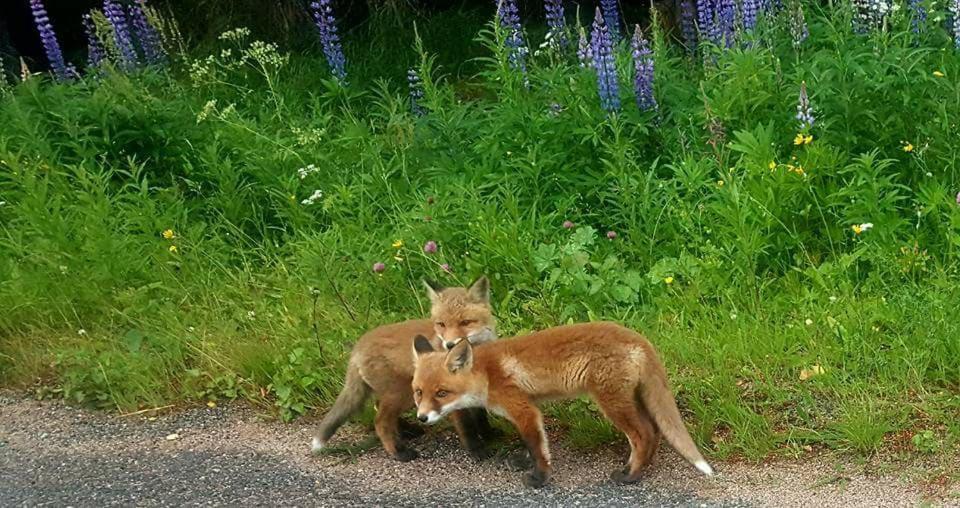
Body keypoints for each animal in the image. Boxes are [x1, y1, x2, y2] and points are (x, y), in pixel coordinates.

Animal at [312, 276, 498, 462]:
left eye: (465, 322)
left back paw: (407, 430)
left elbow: (481, 416)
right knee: (381, 420)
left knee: (379, 407)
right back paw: (398, 451)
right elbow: (466, 426)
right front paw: (476, 449)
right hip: (404, 393)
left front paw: (489, 435)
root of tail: (358, 346)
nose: (449, 345)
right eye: (441, 324)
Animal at [410, 322, 712, 488]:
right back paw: (637, 467)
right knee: (654, 430)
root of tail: (639, 338)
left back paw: (632, 476)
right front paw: (524, 461)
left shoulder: (522, 409)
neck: (486, 373)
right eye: (418, 393)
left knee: (644, 434)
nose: (422, 418)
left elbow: (537, 446)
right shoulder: (530, 405)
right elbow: (534, 443)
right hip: (631, 398)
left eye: (441, 393)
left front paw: (540, 478)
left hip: (611, 402)